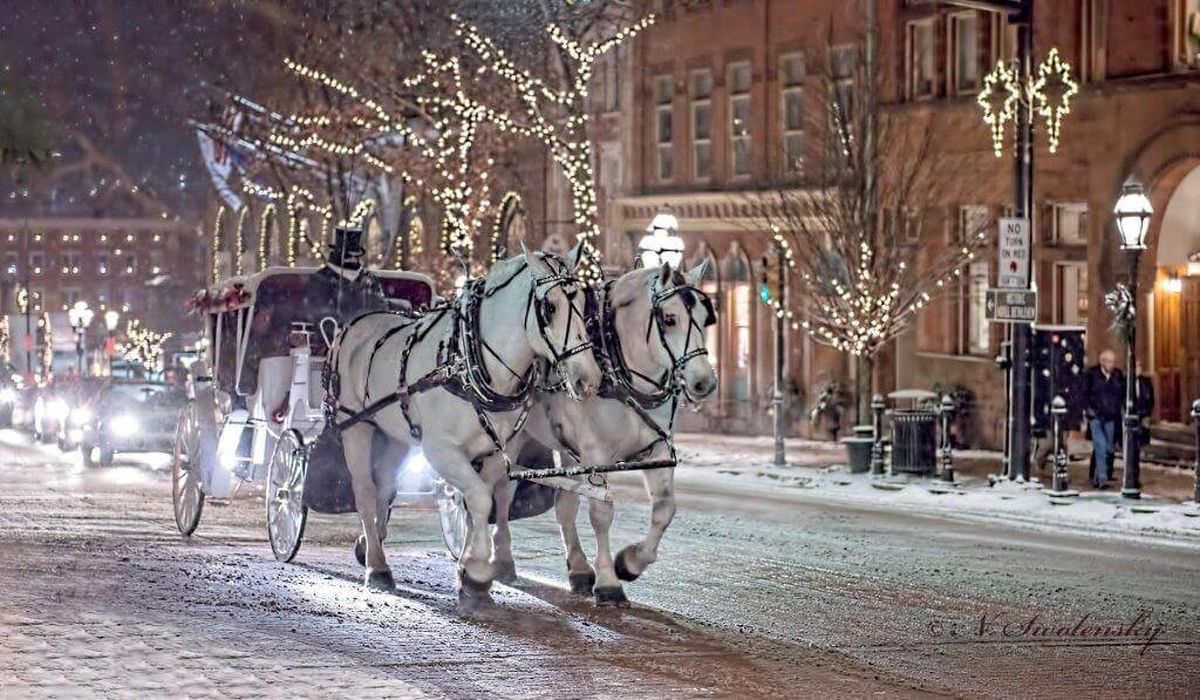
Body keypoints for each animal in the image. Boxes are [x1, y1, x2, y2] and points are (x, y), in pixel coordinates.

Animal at [328, 247, 600, 607]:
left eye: (583, 302)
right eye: (550, 307)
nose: (589, 379)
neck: (466, 362)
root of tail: (355, 324)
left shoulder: (495, 452)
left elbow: (477, 504)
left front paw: (469, 567)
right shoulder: (441, 451)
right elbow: (481, 499)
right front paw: (477, 575)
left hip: (395, 433)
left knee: (385, 486)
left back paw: (368, 542)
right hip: (355, 427)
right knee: (364, 492)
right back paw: (377, 565)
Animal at [492, 260, 715, 605]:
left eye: (705, 318)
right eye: (669, 319)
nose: (704, 382)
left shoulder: (657, 449)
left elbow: (665, 509)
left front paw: (630, 563)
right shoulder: (595, 454)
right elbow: (601, 512)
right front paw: (609, 582)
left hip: (569, 451)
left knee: (564, 505)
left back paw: (579, 569)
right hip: (513, 438)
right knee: (501, 492)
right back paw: (500, 558)